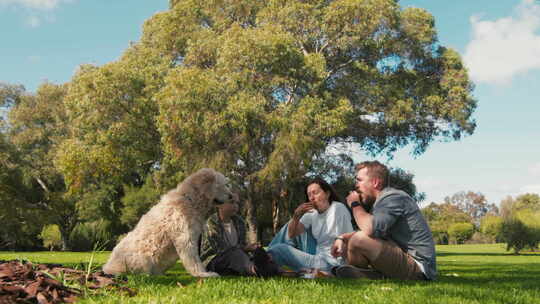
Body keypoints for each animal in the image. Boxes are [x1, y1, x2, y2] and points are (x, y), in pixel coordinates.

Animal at [102, 169, 233, 278]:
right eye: (222, 185)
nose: (231, 196)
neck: (190, 200)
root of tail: (108, 268)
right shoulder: (185, 238)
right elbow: (194, 260)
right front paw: (203, 274)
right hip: (144, 258)